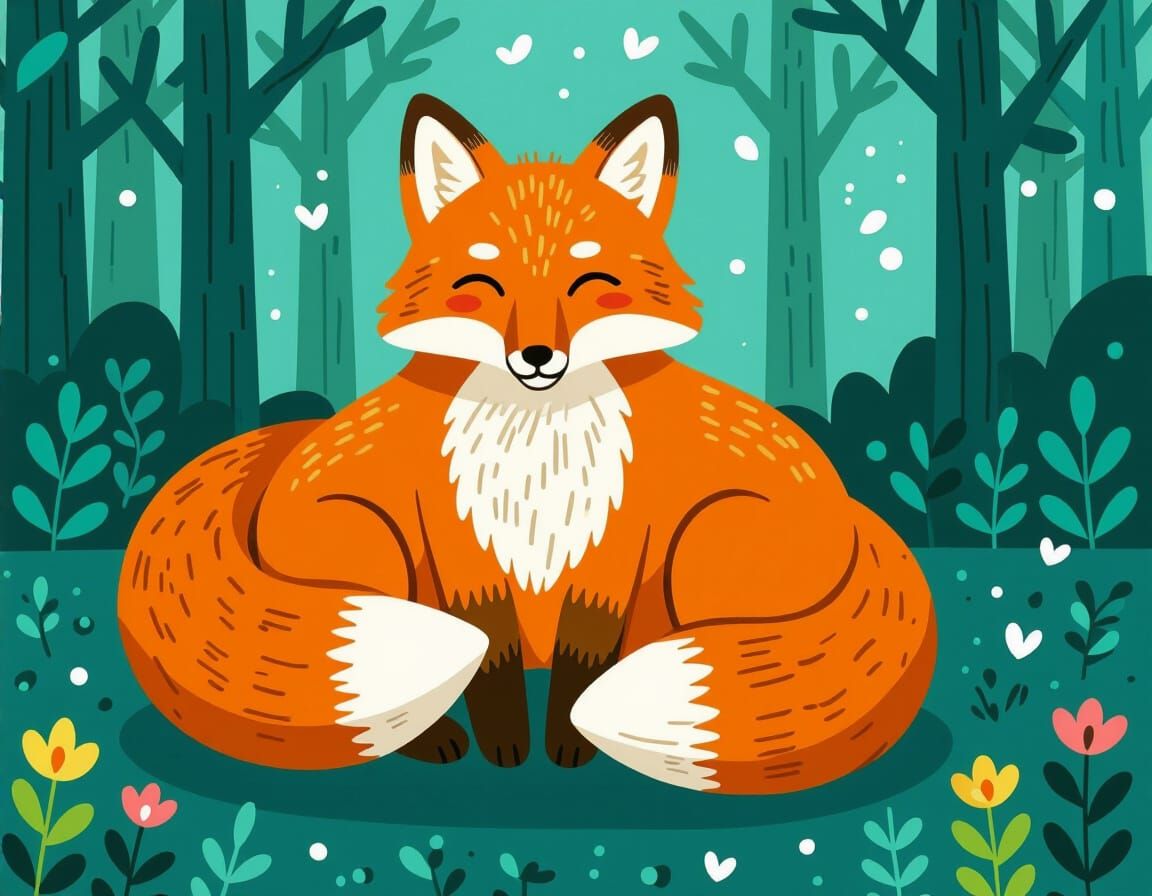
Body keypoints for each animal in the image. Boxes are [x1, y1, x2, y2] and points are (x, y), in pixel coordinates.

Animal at [117, 94, 937, 794]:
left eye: (591, 283)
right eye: (481, 287)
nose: (538, 357)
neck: (537, 450)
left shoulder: (616, 541)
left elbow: (581, 655)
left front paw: (567, 742)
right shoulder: (458, 542)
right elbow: (492, 651)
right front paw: (505, 746)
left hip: (706, 545)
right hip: (372, 543)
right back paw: (429, 739)